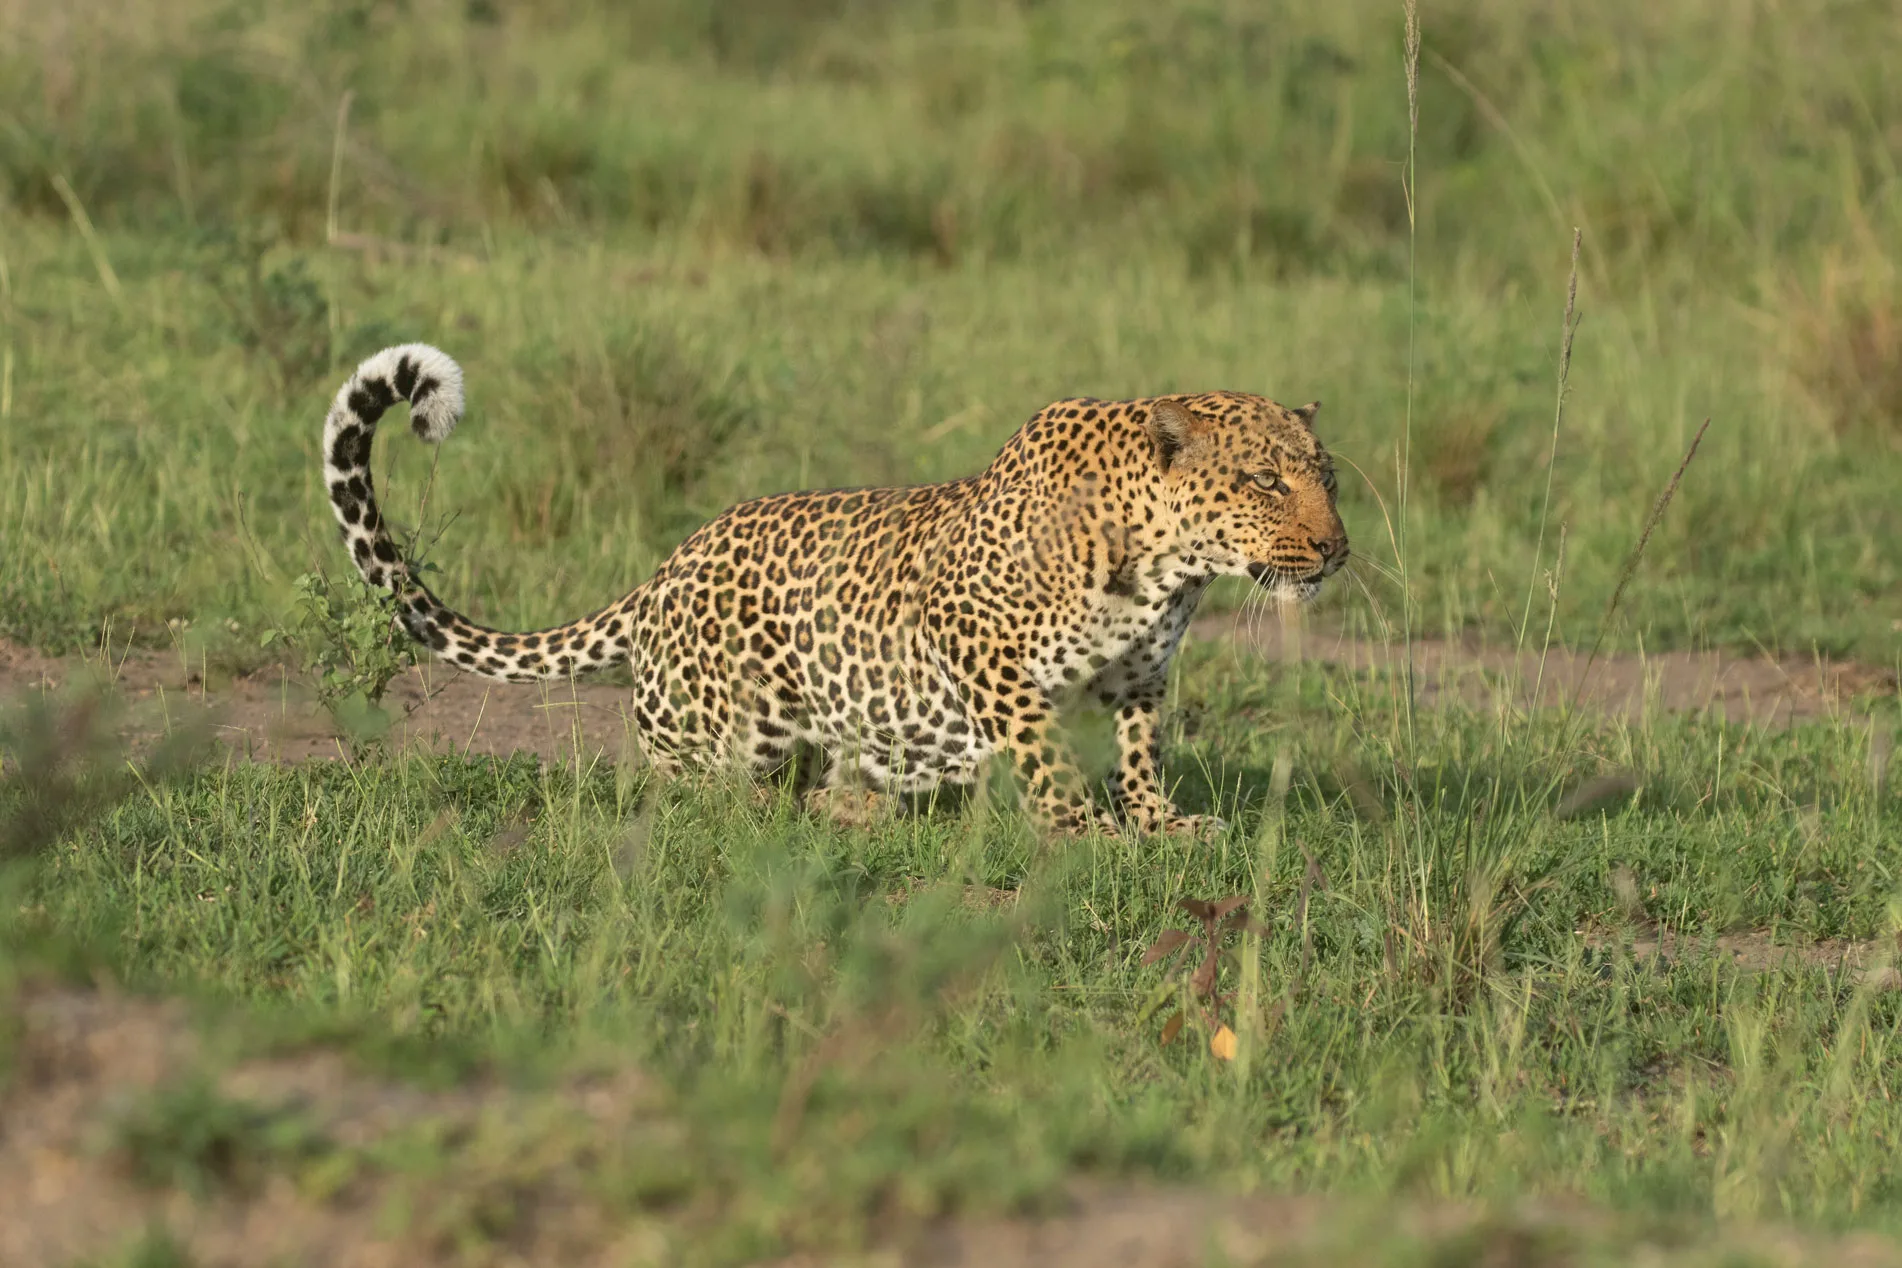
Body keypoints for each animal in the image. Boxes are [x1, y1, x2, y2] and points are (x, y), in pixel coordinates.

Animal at [319, 343, 1349, 837]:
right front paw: (1080, 829)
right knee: (690, 789)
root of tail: (662, 572)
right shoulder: (976, 637)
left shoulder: (1138, 677)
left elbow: (1140, 755)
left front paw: (1162, 823)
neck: (1166, 568)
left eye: (1326, 476)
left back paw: (856, 804)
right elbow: (1044, 749)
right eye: (1266, 482)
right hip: (742, 721)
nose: (1336, 549)